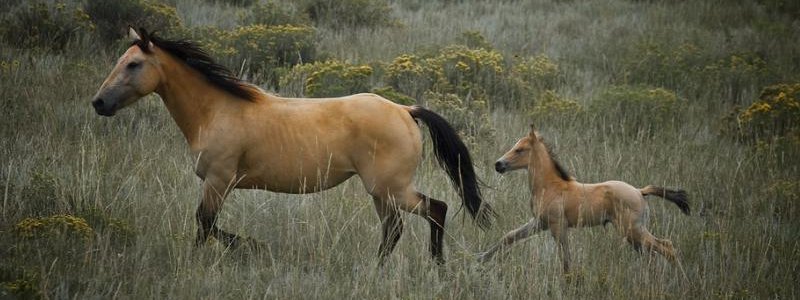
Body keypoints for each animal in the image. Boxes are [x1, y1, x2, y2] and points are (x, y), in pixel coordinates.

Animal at [90, 27, 490, 264]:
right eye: (120, 61)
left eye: (133, 64)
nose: (99, 103)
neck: (216, 110)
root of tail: (405, 110)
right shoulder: (219, 183)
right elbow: (208, 225)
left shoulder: (219, 180)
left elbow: (205, 224)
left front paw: (246, 247)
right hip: (383, 192)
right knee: (395, 229)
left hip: (391, 188)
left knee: (435, 209)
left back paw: (433, 264)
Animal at [478, 125, 692, 274]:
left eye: (520, 149)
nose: (498, 164)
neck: (550, 186)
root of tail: (640, 191)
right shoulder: (540, 222)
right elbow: (509, 236)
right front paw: (480, 258)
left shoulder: (557, 226)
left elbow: (565, 257)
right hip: (634, 233)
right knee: (653, 255)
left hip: (632, 230)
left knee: (667, 248)